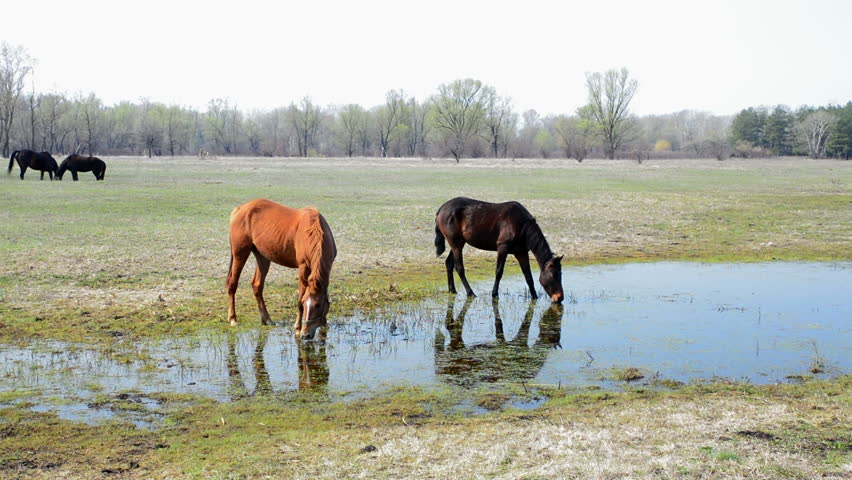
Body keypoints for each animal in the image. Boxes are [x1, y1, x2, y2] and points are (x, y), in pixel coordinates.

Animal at [226, 197, 336, 340]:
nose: (305, 334)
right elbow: (299, 297)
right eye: (305, 303)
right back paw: (233, 319)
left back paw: (267, 319)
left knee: (257, 285)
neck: (312, 232)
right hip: (240, 253)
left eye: (317, 305)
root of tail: (240, 209)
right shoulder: (303, 267)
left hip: (262, 256)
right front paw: (297, 328)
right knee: (233, 283)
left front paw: (324, 323)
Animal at [432, 196, 564, 302]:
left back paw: (452, 290)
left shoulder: (521, 252)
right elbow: (499, 272)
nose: (559, 298)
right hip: (456, 243)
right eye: (554, 275)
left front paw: (534, 296)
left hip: (458, 243)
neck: (522, 226)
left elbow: (528, 276)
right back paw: (470, 292)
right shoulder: (502, 248)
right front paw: (494, 294)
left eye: (561, 274)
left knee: (449, 263)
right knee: (459, 268)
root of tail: (442, 208)